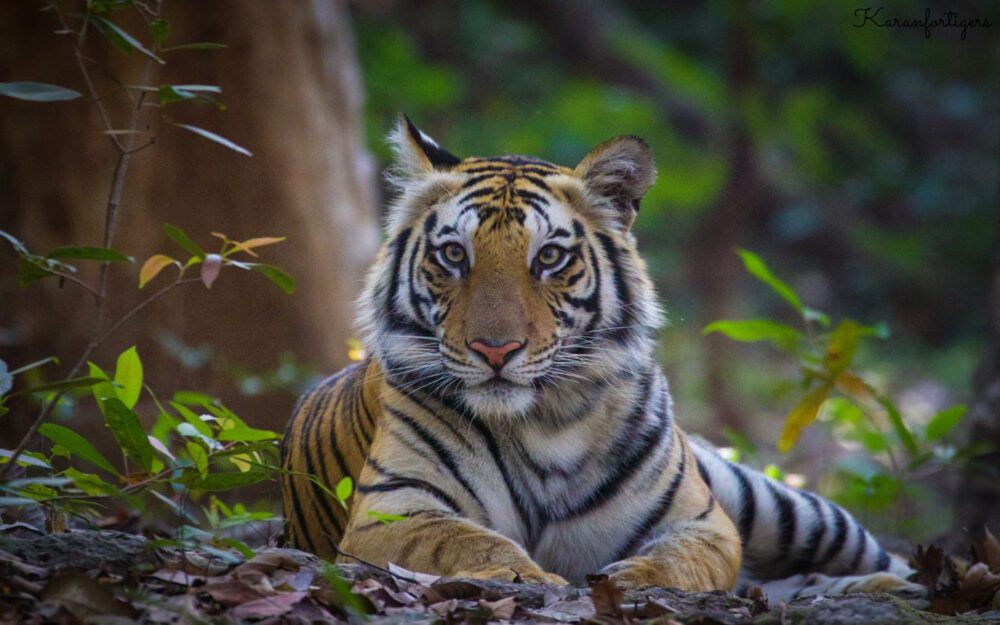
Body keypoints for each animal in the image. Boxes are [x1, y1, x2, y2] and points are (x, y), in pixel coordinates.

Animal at [278, 114, 924, 604]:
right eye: (454, 255)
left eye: (549, 257)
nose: (495, 349)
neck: (543, 422)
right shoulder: (393, 508)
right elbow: (468, 541)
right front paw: (529, 577)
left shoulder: (702, 520)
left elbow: (681, 560)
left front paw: (631, 580)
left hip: (782, 506)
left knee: (876, 554)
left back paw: (890, 586)